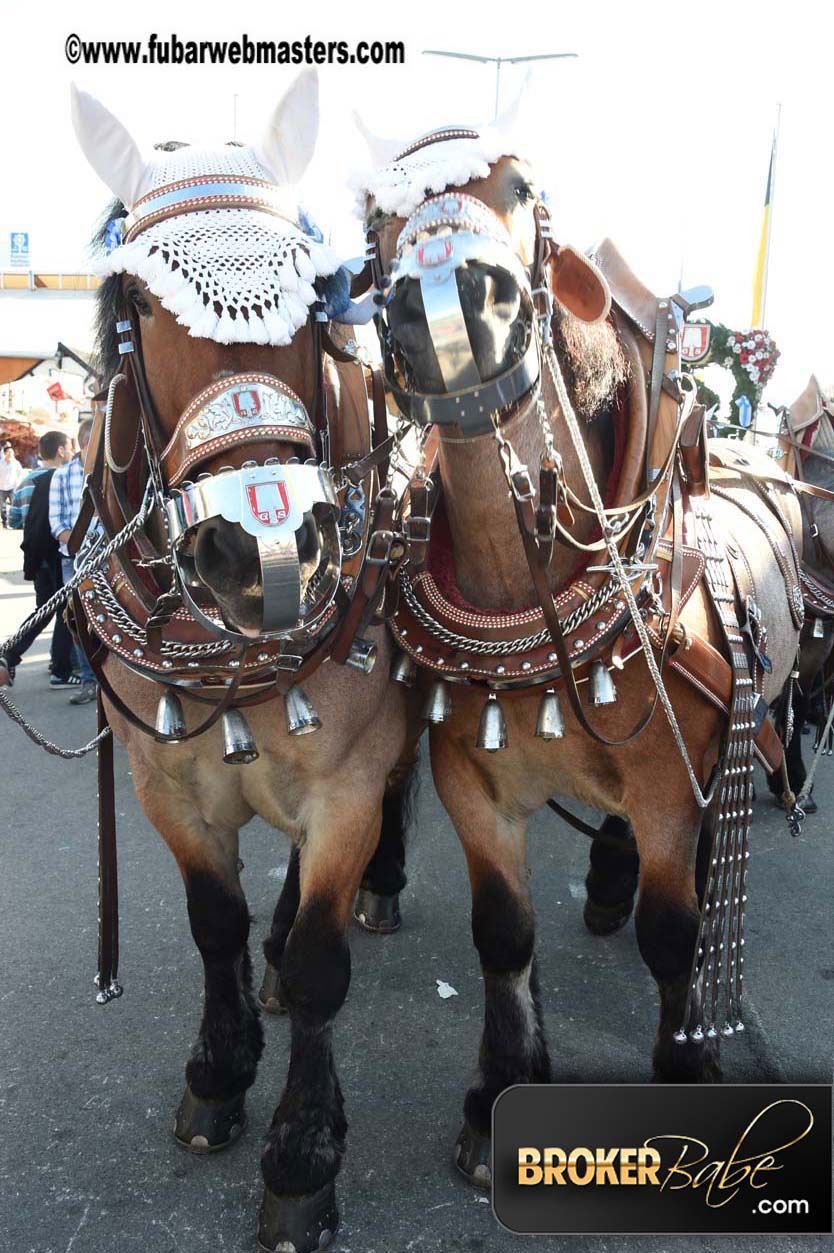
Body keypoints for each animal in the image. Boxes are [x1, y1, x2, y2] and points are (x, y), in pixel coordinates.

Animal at [70, 73, 413, 1247]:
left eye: (315, 305)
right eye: (137, 307)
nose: (262, 545)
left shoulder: (347, 782)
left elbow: (320, 965)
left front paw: (304, 1152)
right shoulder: (161, 780)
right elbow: (213, 922)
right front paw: (219, 1073)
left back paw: (382, 888)